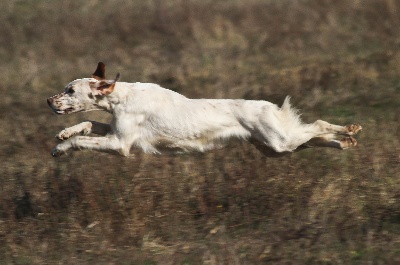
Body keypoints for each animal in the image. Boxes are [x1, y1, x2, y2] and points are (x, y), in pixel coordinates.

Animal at [47, 62, 362, 157]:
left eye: (70, 90)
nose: (49, 101)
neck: (123, 97)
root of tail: (268, 105)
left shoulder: (120, 144)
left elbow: (82, 140)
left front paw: (61, 148)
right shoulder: (114, 131)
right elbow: (88, 124)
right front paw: (64, 133)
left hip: (280, 141)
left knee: (318, 125)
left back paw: (350, 129)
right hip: (276, 148)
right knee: (318, 138)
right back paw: (346, 142)